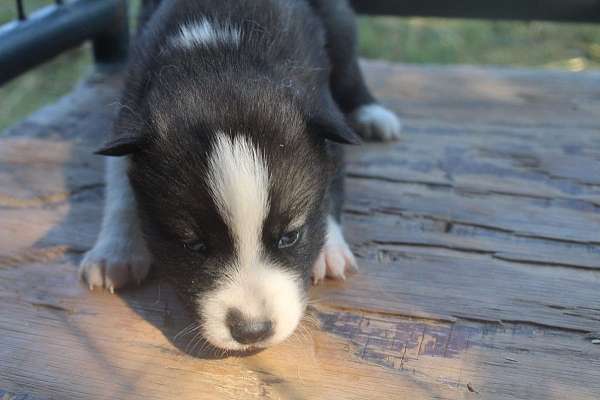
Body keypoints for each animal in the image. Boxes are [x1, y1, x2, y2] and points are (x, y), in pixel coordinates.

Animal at [78, 0, 398, 350]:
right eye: (194, 245)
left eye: (290, 236)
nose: (252, 331)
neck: (219, 54)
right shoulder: (129, 114)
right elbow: (120, 188)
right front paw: (115, 252)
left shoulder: (324, 114)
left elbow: (333, 181)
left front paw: (329, 250)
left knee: (349, 69)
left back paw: (373, 114)